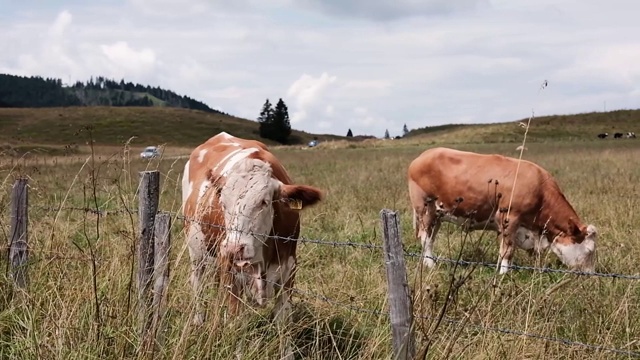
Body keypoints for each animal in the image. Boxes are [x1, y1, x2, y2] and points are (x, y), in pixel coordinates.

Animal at [181, 131, 324, 324]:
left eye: (264, 202)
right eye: (223, 202)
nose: (234, 248)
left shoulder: (289, 270)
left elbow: (282, 319)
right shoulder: (230, 271)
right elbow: (233, 317)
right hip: (196, 253)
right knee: (197, 284)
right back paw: (198, 320)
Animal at [408, 148, 596, 274]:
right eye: (589, 251)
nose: (591, 275)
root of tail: (422, 156)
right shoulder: (510, 219)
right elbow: (508, 250)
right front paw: (504, 274)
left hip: (438, 215)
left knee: (430, 239)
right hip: (425, 210)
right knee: (425, 239)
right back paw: (430, 265)